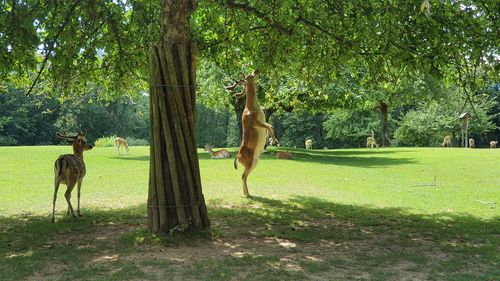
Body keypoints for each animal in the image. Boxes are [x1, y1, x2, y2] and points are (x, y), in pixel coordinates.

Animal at [226, 69, 278, 197]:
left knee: (244, 177)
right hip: (249, 163)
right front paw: (274, 142)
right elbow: (269, 126)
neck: (252, 108)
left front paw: (274, 141)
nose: (256, 70)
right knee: (243, 176)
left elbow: (270, 126)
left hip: (255, 162)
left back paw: (248, 193)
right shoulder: (255, 122)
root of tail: (237, 157)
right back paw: (247, 194)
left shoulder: (263, 121)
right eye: (250, 75)